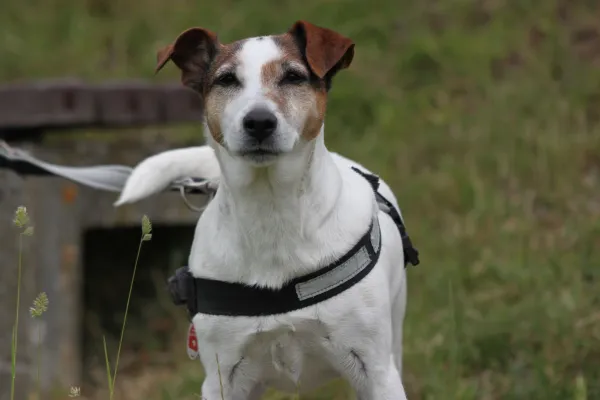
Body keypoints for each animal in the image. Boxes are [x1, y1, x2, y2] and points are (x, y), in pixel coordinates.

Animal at [116, 20, 418, 398]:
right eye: (227, 80)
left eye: (293, 77)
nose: (259, 121)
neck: (272, 210)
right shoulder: (222, 378)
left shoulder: (376, 372)